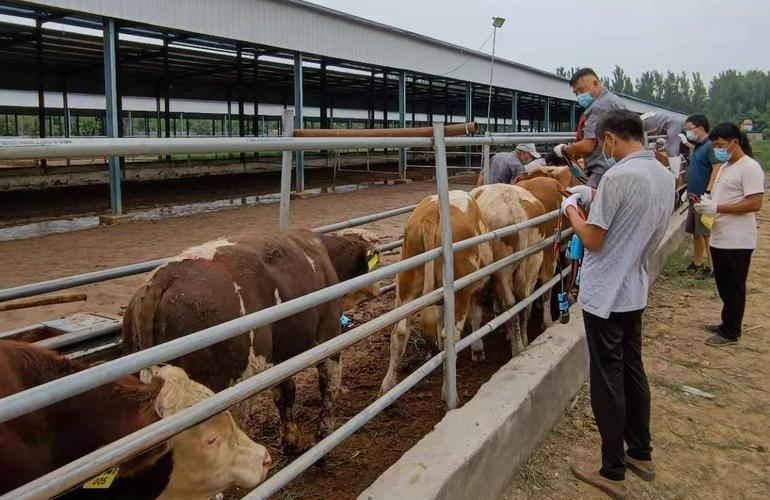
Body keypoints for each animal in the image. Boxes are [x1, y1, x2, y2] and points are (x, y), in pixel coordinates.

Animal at [121, 230, 380, 454]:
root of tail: (163, 278)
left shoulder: (279, 356)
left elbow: (285, 393)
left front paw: (291, 440)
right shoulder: (329, 335)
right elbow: (330, 385)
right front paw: (324, 435)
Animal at [380, 191, 492, 394]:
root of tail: (431, 212)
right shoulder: (479, 287)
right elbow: (477, 317)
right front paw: (478, 350)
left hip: (406, 285)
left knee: (399, 332)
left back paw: (388, 386)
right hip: (460, 292)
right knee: (450, 334)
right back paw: (447, 389)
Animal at [468, 182, 544, 354]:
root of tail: (514, 204)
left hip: (502, 269)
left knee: (511, 303)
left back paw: (517, 348)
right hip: (534, 260)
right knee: (525, 300)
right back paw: (524, 340)